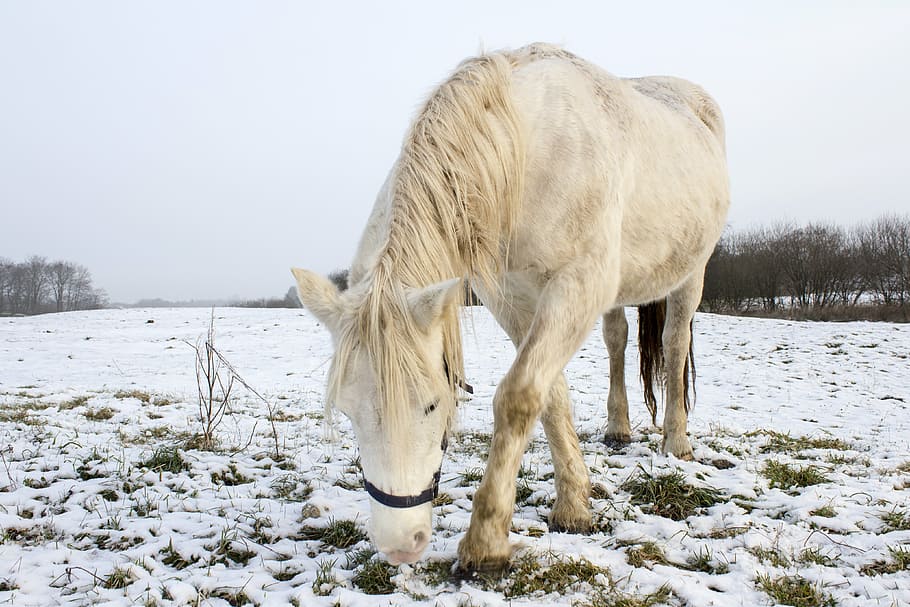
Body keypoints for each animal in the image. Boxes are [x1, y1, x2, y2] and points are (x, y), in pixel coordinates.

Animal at [292, 43, 729, 571]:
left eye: (432, 403)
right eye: (348, 410)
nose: (400, 544)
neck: (520, 152)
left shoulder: (576, 285)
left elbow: (519, 396)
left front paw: (487, 541)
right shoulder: (510, 297)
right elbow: (549, 395)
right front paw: (574, 504)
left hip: (692, 272)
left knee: (674, 342)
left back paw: (676, 442)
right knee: (617, 340)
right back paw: (618, 428)